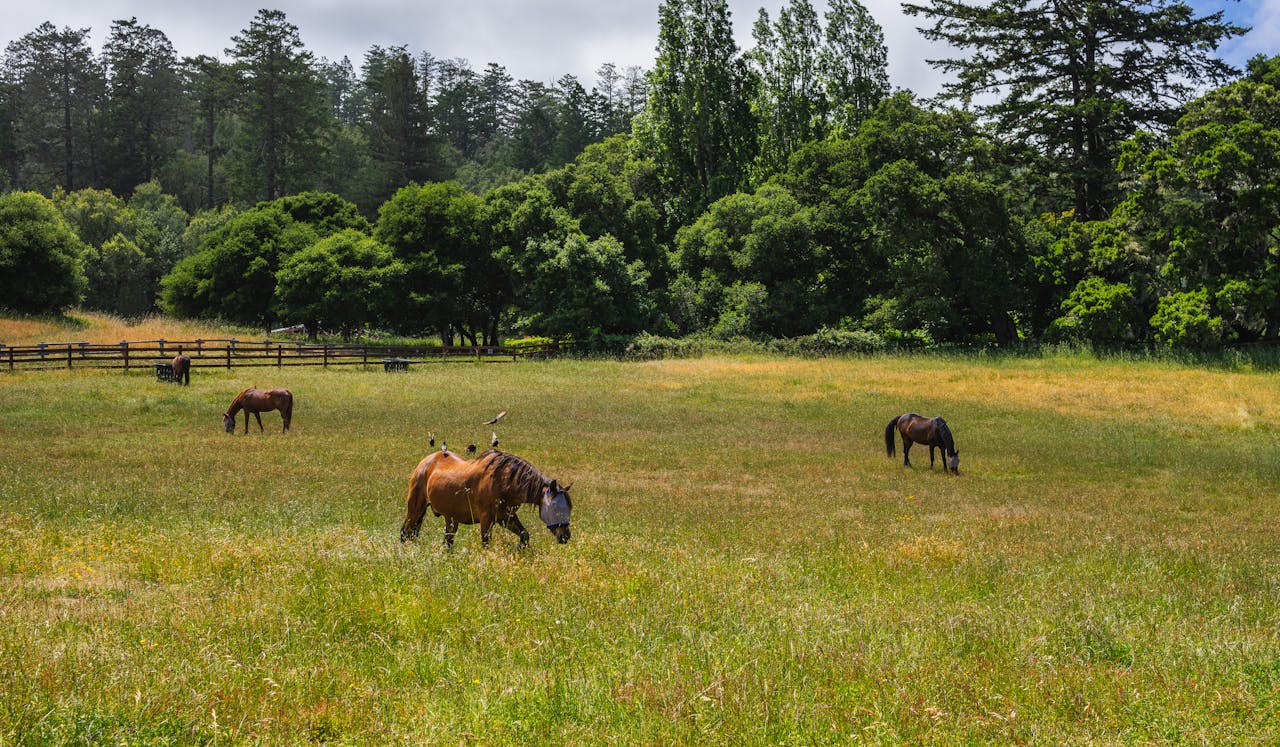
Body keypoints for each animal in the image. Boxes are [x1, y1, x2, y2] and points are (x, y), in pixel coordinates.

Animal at [400, 448, 573, 548]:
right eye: (556, 508)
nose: (565, 536)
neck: (504, 482)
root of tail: (426, 462)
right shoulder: (486, 519)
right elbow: (485, 544)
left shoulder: (506, 517)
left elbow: (524, 535)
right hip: (415, 509)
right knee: (405, 532)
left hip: (451, 518)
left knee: (448, 542)